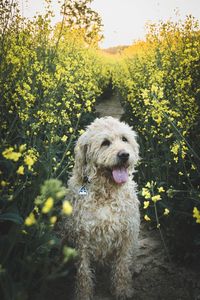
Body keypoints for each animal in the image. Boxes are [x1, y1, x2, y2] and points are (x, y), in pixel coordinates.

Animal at [66, 116, 140, 298]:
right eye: (105, 142)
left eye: (124, 139)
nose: (124, 155)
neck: (106, 193)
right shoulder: (81, 239)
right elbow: (83, 272)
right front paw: (83, 294)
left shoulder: (127, 236)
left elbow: (122, 267)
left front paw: (122, 291)